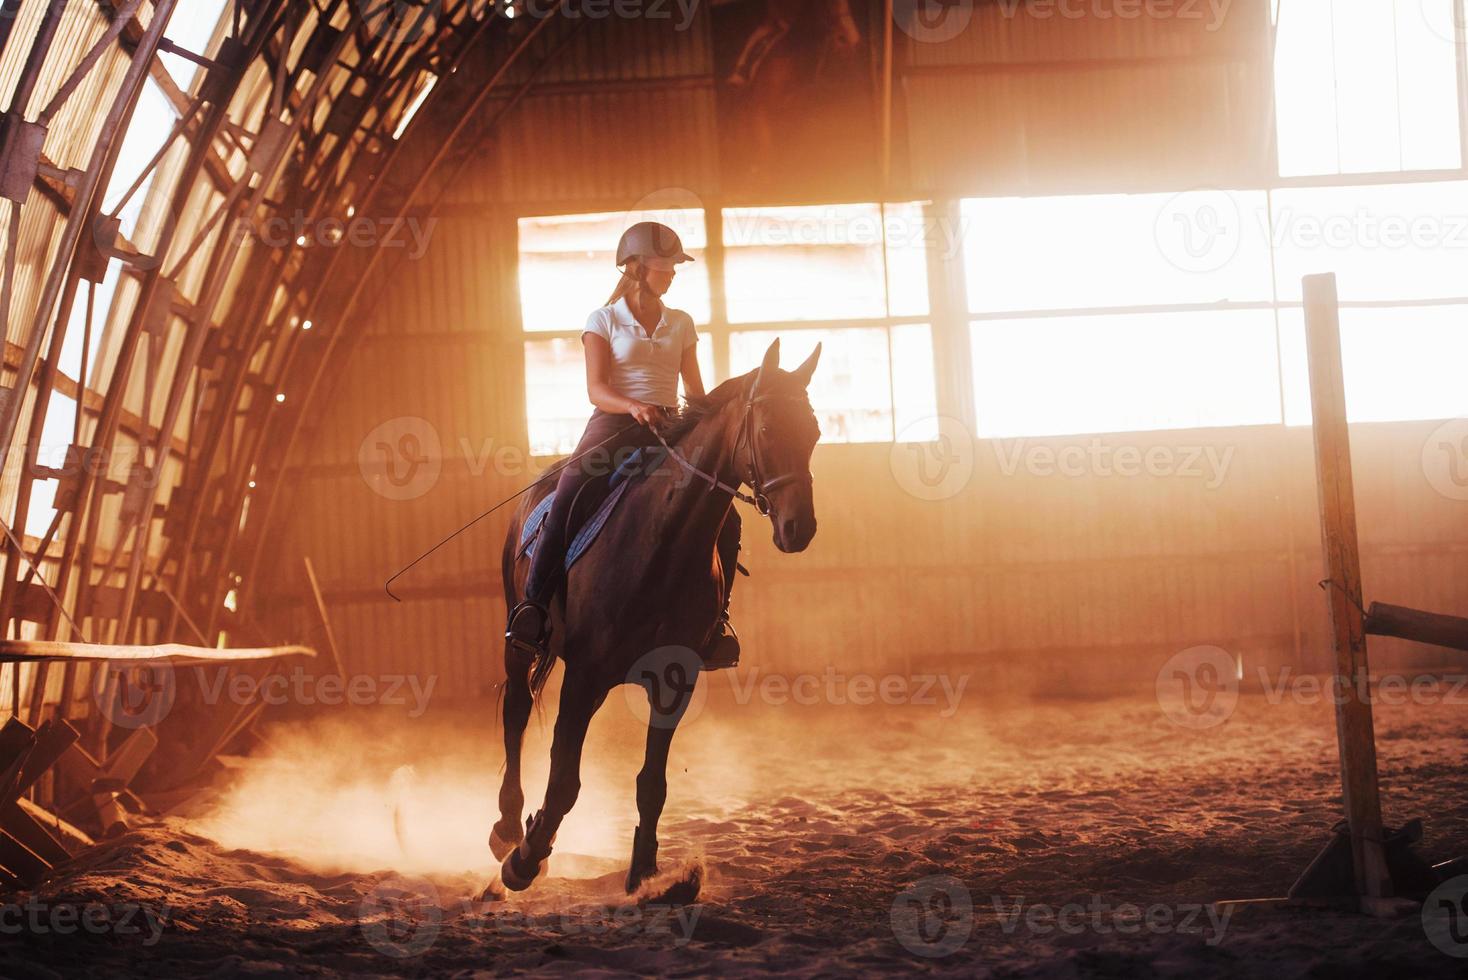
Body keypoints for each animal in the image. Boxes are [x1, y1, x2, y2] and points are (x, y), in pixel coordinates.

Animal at [487, 338, 822, 897]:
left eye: (814, 432)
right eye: (768, 430)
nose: (800, 528)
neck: (660, 543)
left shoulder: (673, 680)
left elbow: (652, 784)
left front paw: (645, 873)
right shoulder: (585, 676)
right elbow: (564, 781)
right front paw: (525, 860)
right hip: (520, 642)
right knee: (515, 713)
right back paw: (508, 828)